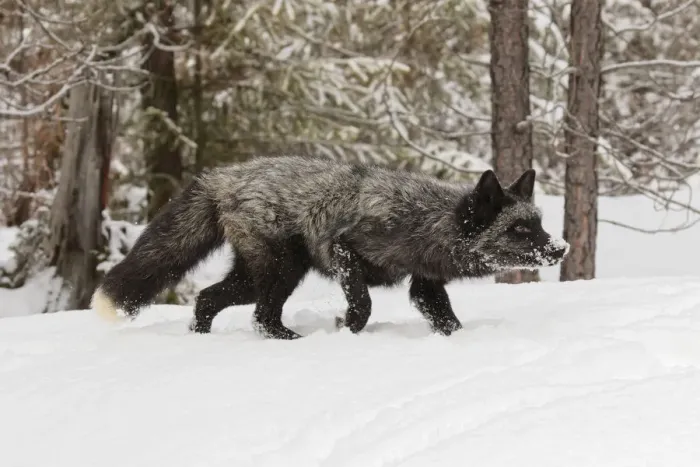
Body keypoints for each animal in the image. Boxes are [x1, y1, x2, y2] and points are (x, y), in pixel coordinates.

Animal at [91, 155, 569, 339]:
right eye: (520, 230)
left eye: (539, 224)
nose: (561, 249)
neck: (424, 218)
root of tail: (222, 176)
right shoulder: (343, 250)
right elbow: (363, 304)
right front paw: (347, 330)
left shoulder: (424, 285)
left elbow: (447, 320)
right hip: (282, 270)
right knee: (260, 318)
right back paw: (289, 340)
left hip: (255, 276)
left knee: (208, 299)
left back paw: (201, 338)